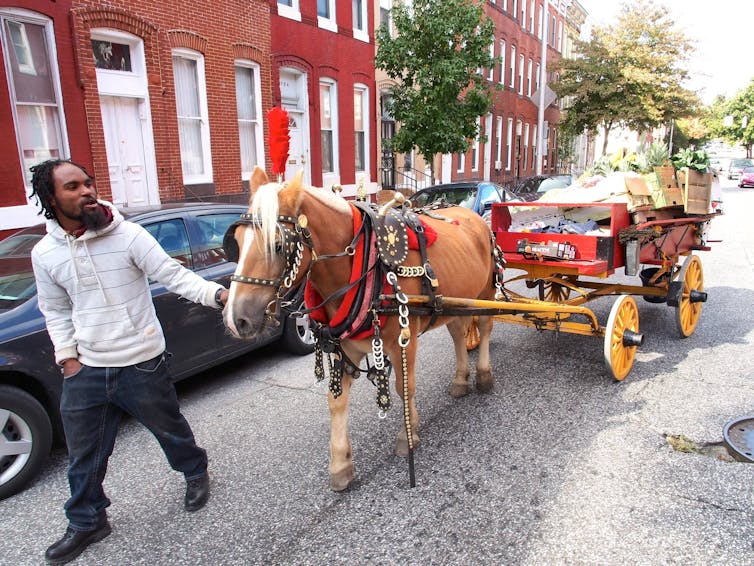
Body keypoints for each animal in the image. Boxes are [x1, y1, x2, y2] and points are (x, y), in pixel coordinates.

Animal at [223, 166, 500, 490]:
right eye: (236, 242)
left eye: (278, 245)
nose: (235, 319)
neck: (366, 264)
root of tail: (475, 218)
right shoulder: (346, 346)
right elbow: (336, 399)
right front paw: (340, 463)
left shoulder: (404, 340)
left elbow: (404, 387)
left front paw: (408, 435)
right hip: (454, 303)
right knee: (458, 334)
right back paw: (460, 379)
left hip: (484, 292)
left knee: (484, 327)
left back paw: (483, 374)